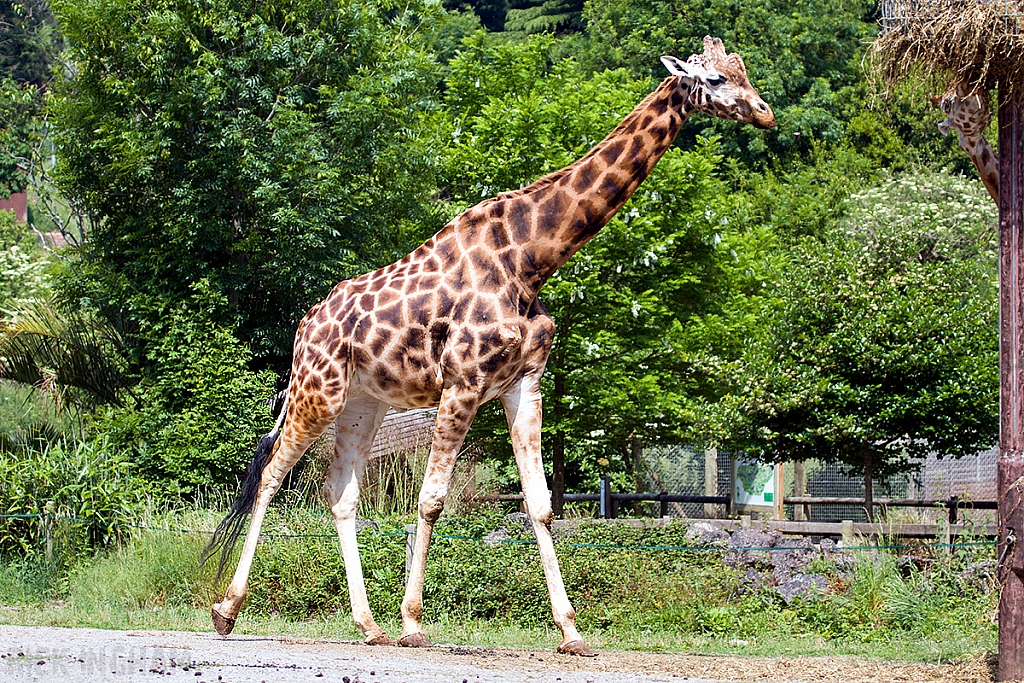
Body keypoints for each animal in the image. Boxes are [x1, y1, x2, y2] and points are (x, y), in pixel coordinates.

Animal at [202, 35, 775, 657]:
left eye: (744, 72)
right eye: (716, 79)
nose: (765, 113)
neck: (533, 257)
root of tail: (305, 327)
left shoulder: (523, 382)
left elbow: (541, 504)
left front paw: (571, 631)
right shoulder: (463, 382)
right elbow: (431, 499)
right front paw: (414, 623)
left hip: (363, 403)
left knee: (340, 492)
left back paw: (367, 625)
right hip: (318, 391)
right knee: (270, 476)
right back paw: (226, 610)